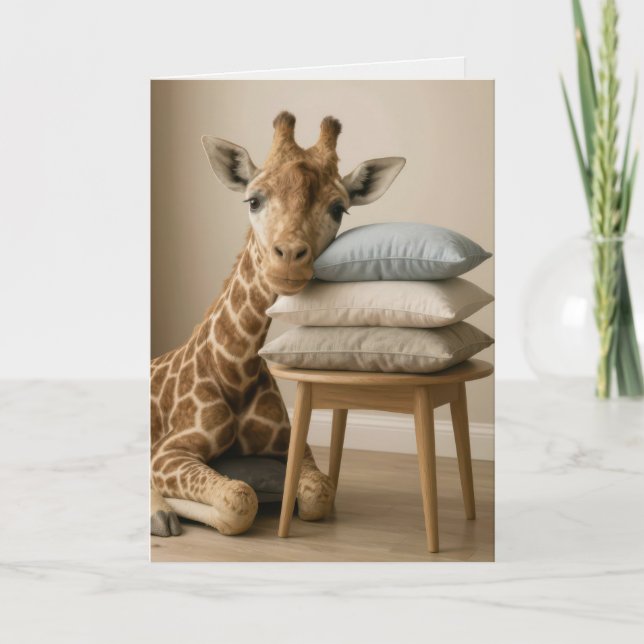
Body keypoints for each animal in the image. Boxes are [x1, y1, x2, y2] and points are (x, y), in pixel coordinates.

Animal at [150, 111, 406, 537]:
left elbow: (319, 493)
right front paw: (175, 509)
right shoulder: (169, 450)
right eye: (253, 200)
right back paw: (160, 515)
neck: (235, 371)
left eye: (338, 208)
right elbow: (239, 498)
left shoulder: (293, 448)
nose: (288, 258)